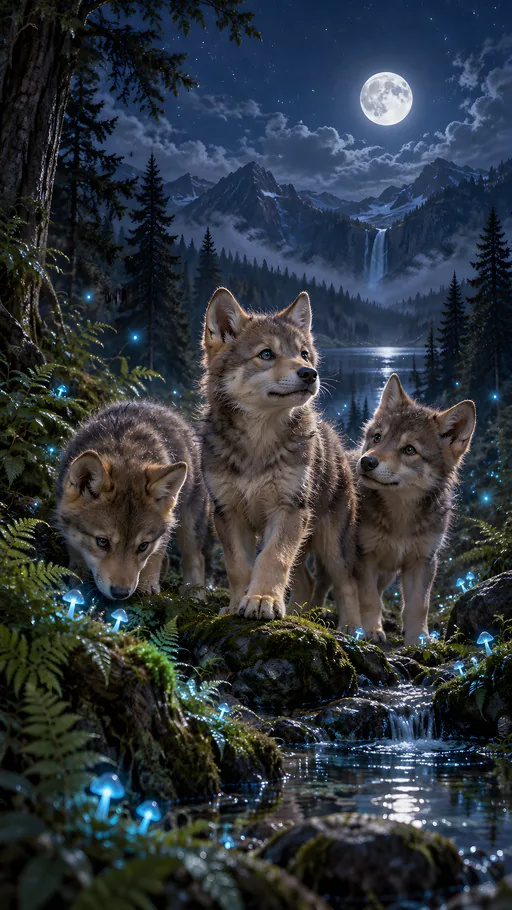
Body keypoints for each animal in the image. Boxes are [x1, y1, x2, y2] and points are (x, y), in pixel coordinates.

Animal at [55, 400, 210, 600]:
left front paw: (148, 585)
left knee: (196, 558)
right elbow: (76, 551)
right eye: (102, 542)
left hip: (189, 523)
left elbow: (155, 556)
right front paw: (77, 576)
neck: (123, 451)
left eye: (143, 546)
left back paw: (194, 595)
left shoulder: (160, 537)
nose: (121, 593)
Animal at [200, 287, 359, 630]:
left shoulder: (289, 509)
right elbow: (238, 566)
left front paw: (262, 600)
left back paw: (357, 630)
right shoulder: (227, 512)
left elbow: (273, 558)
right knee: (308, 583)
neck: (258, 442)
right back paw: (298, 613)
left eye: (304, 354)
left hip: (333, 545)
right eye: (266, 354)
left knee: (348, 585)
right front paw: (237, 604)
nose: (310, 374)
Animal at [354, 374, 476, 645]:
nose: (366, 462)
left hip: (387, 574)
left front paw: (418, 639)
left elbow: (418, 606)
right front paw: (371, 631)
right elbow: (368, 599)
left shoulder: (423, 561)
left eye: (409, 449)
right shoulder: (365, 557)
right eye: (377, 437)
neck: (401, 516)